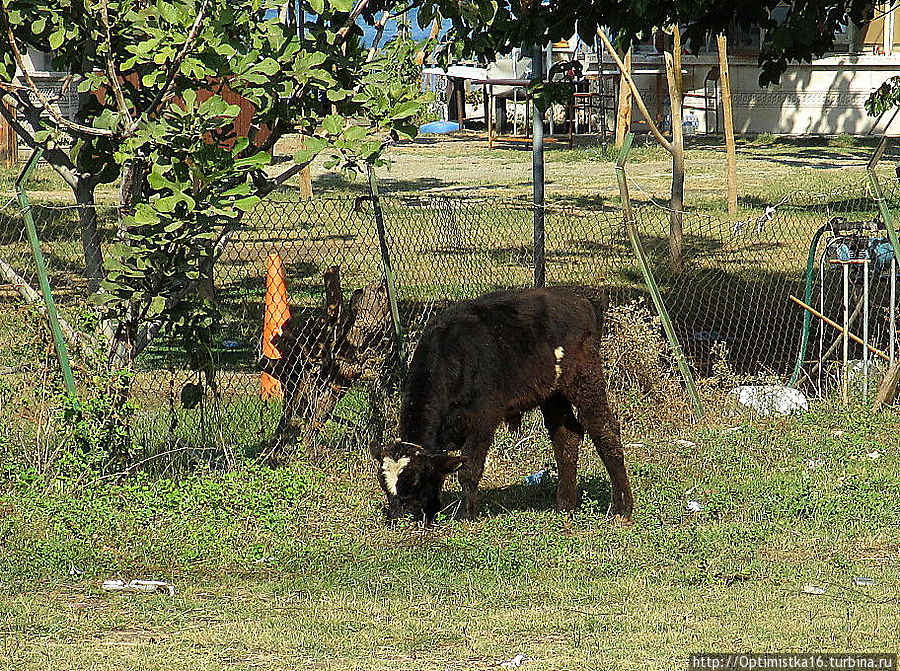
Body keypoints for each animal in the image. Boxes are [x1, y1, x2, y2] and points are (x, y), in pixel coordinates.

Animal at [370, 288, 632, 524]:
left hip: (585, 378)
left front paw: (465, 516)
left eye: (414, 482)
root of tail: (581, 299)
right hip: (553, 393)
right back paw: (565, 506)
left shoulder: (483, 418)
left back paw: (622, 508)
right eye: (384, 484)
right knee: (566, 436)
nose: (398, 519)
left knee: (605, 430)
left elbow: (469, 470)